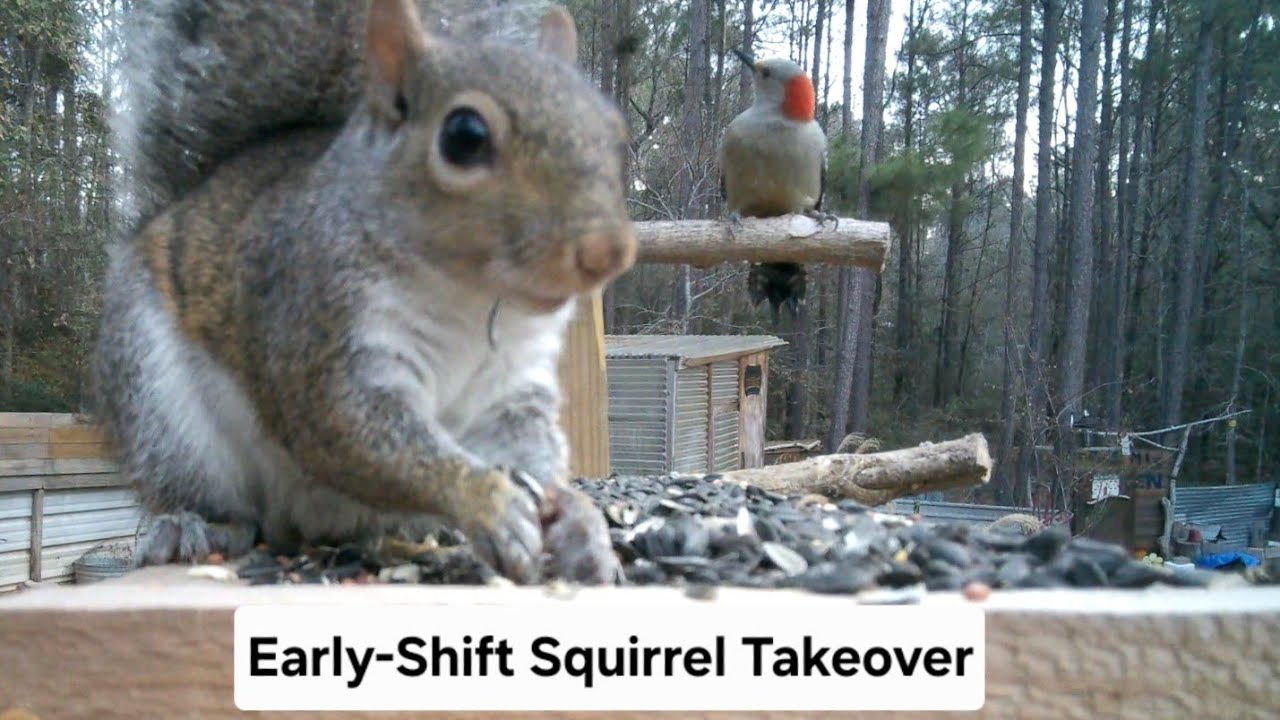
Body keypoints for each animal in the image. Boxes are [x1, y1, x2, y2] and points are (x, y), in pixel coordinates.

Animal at [92, 0, 636, 585]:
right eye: (464, 136)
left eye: (614, 132)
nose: (608, 252)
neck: (475, 304)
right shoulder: (319, 330)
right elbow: (362, 437)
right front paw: (488, 502)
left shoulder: (513, 389)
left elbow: (528, 451)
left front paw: (582, 526)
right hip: (159, 403)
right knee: (207, 493)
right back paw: (197, 526)